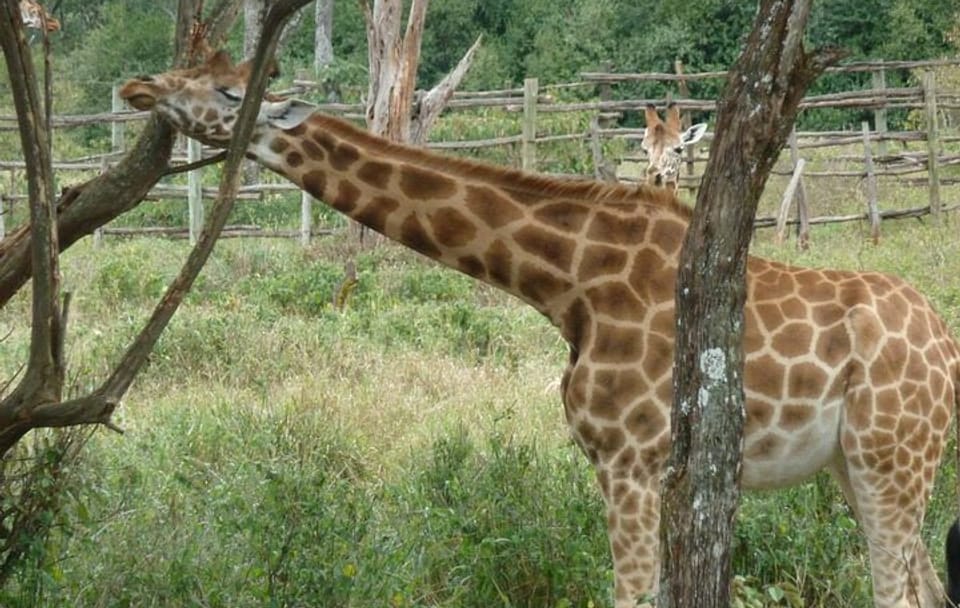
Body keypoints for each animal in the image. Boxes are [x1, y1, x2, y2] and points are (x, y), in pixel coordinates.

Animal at [119, 51, 960, 608]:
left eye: (228, 88)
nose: (138, 85)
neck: (564, 282)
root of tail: (948, 346)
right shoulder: (625, 465)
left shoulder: (632, 460)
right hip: (858, 463)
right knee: (924, 581)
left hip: (890, 455)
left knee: (897, 588)